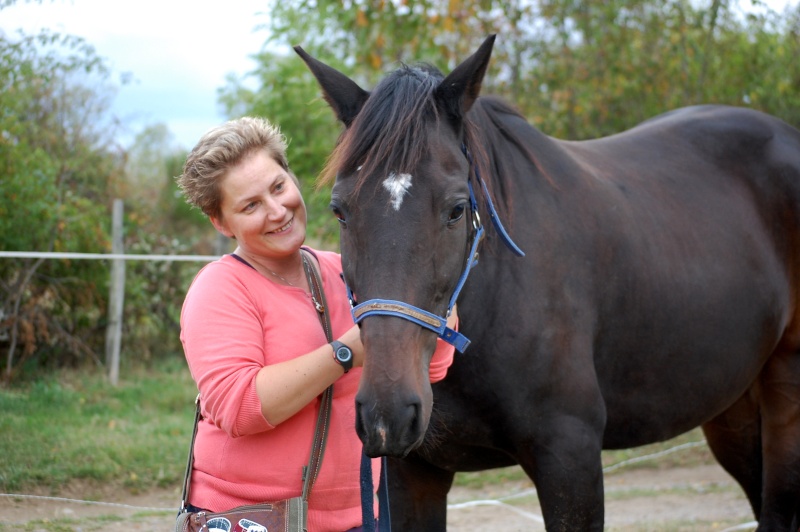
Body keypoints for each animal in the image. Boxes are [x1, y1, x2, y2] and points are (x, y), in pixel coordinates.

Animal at [296, 35, 800, 528]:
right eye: (340, 210)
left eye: (457, 209)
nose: (389, 411)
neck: (501, 299)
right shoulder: (414, 475)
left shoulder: (569, 461)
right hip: (732, 405)